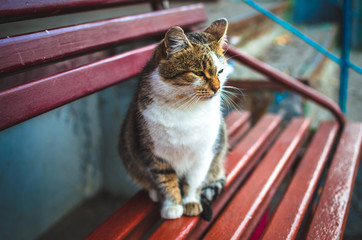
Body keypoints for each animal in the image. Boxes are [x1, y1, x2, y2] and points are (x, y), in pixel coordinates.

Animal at [120, 18, 230, 219]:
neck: (186, 107)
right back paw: (154, 192)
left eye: (220, 71)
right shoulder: (155, 153)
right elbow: (166, 180)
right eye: (198, 73)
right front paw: (173, 205)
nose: (217, 88)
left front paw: (191, 202)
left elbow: (194, 180)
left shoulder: (204, 152)